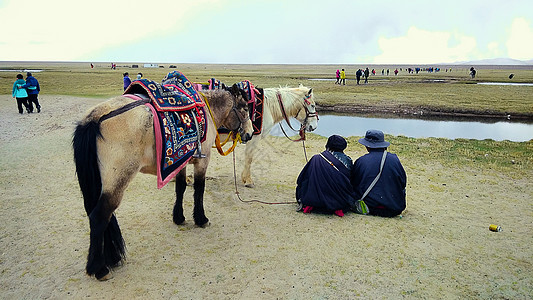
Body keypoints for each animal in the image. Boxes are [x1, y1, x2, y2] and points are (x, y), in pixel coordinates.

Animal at [72, 76, 254, 280]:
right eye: (245, 108)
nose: (249, 133)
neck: (207, 110)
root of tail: (94, 119)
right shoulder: (202, 161)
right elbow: (199, 189)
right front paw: (201, 219)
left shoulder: (180, 161)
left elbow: (180, 187)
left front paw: (179, 217)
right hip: (118, 180)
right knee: (99, 217)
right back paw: (100, 268)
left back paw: (112, 259)